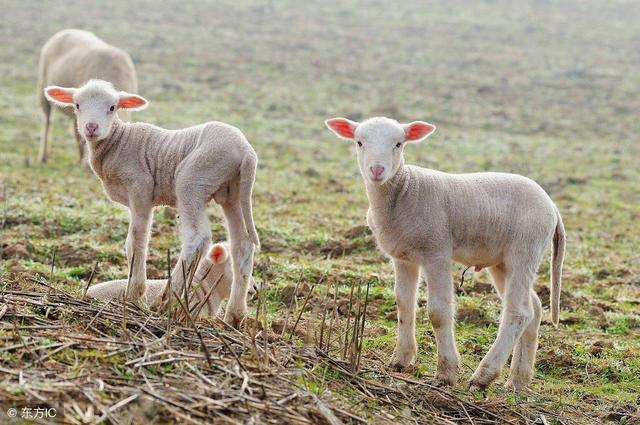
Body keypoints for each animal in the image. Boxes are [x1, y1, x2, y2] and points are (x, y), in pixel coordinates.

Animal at [37, 28, 138, 164]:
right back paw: (43, 157)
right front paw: (85, 162)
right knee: (47, 122)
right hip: (42, 88)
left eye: (112, 108)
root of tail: (69, 30)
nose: (92, 127)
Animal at [324, 116, 564, 390]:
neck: (405, 189)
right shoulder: (403, 258)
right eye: (359, 142)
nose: (376, 170)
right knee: (533, 308)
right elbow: (404, 304)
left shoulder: (436, 253)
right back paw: (518, 381)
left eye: (398, 144)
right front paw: (400, 360)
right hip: (502, 261)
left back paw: (483, 376)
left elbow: (438, 312)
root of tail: (552, 206)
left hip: (524, 250)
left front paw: (446, 373)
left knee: (518, 312)